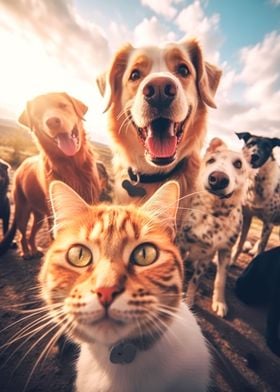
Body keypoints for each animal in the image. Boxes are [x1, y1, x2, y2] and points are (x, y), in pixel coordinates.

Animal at [177, 136, 249, 316]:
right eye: (210, 160)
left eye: (238, 164)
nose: (218, 178)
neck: (214, 214)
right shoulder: (181, 245)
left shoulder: (215, 252)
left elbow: (215, 280)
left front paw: (217, 302)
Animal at [233, 132, 278, 264]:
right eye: (250, 143)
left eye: (267, 147)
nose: (254, 156)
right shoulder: (247, 217)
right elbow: (239, 244)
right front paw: (231, 261)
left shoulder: (269, 223)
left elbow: (261, 250)